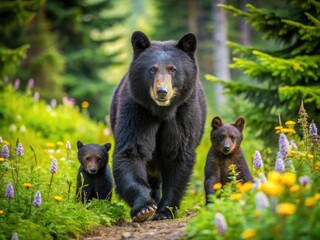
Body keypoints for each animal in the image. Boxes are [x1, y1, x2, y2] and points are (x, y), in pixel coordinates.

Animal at [109, 31, 206, 222]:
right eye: (152, 69)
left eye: (172, 69)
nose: (162, 91)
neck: (162, 112)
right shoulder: (137, 110)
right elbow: (132, 151)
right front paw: (145, 207)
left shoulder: (183, 113)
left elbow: (178, 153)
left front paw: (164, 210)